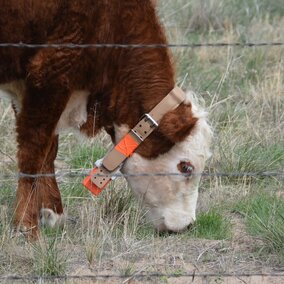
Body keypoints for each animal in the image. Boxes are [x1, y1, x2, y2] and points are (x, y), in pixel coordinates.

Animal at [0, 0, 212, 240]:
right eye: (186, 167)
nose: (188, 225)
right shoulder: (50, 74)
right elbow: (33, 152)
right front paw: (26, 225)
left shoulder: (27, 88)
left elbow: (48, 150)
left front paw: (52, 213)